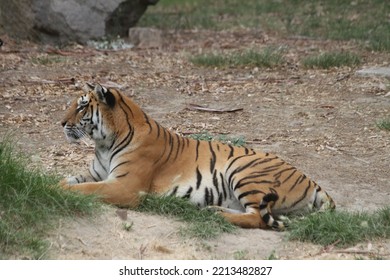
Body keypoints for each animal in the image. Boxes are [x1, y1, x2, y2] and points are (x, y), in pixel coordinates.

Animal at [61, 83, 336, 230]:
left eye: (82, 106)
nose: (61, 123)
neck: (104, 143)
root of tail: (313, 181)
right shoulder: (95, 173)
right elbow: (71, 180)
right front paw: (56, 183)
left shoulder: (125, 186)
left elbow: (87, 189)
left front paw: (60, 189)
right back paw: (213, 209)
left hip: (243, 168)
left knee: (258, 217)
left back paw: (217, 215)